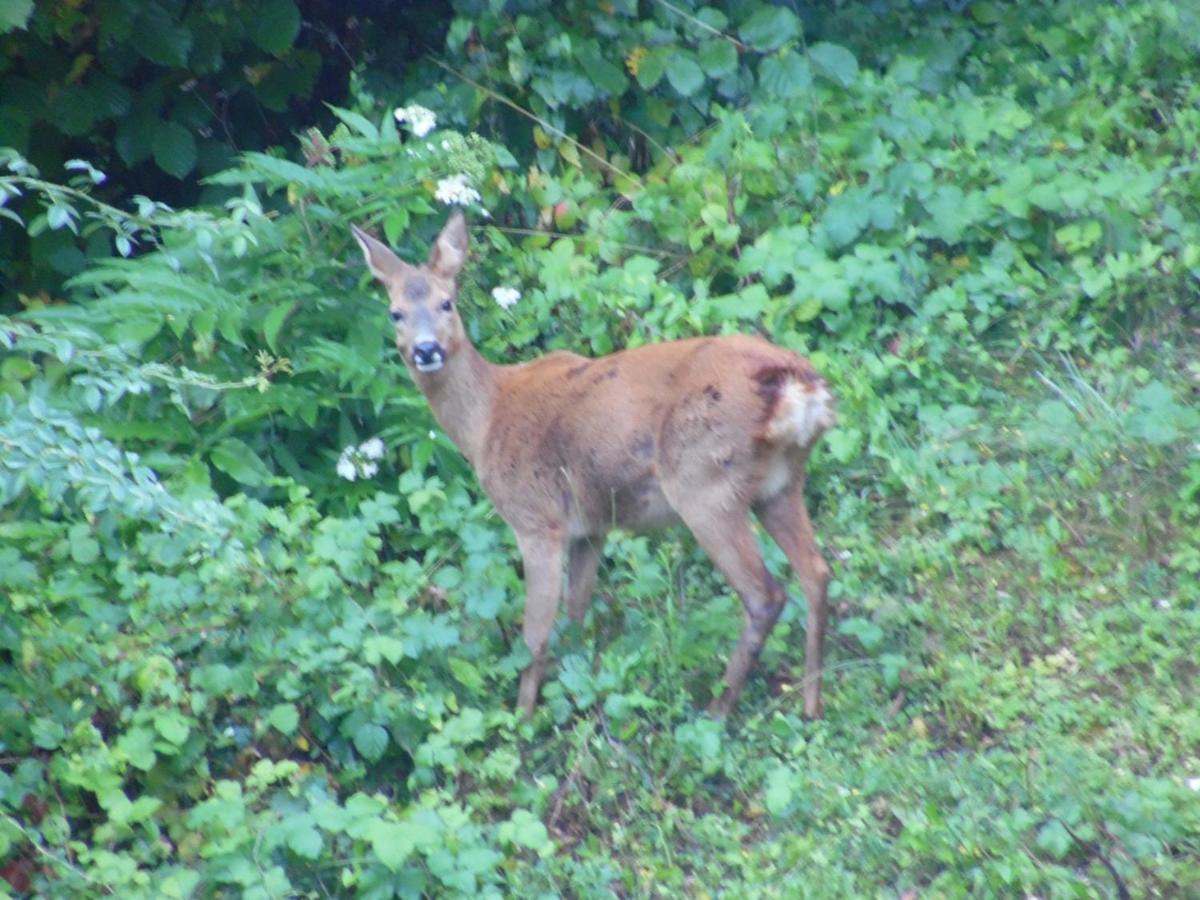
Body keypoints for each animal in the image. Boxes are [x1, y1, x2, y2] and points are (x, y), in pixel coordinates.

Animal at [350, 211, 835, 720]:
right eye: (395, 313)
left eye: (446, 303)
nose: (425, 350)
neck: (487, 420)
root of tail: (797, 387)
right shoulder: (591, 527)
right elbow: (576, 615)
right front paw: (575, 691)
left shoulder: (536, 520)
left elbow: (535, 635)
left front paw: (523, 720)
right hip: (780, 483)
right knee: (816, 573)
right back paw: (810, 702)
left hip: (703, 483)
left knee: (765, 595)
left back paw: (719, 710)